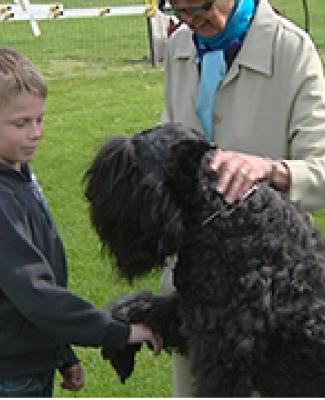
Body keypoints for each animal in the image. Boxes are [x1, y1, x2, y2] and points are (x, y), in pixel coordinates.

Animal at [84, 122, 325, 396]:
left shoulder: (221, 358)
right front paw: (120, 347)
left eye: (131, 166)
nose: (91, 195)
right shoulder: (189, 315)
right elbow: (136, 304)